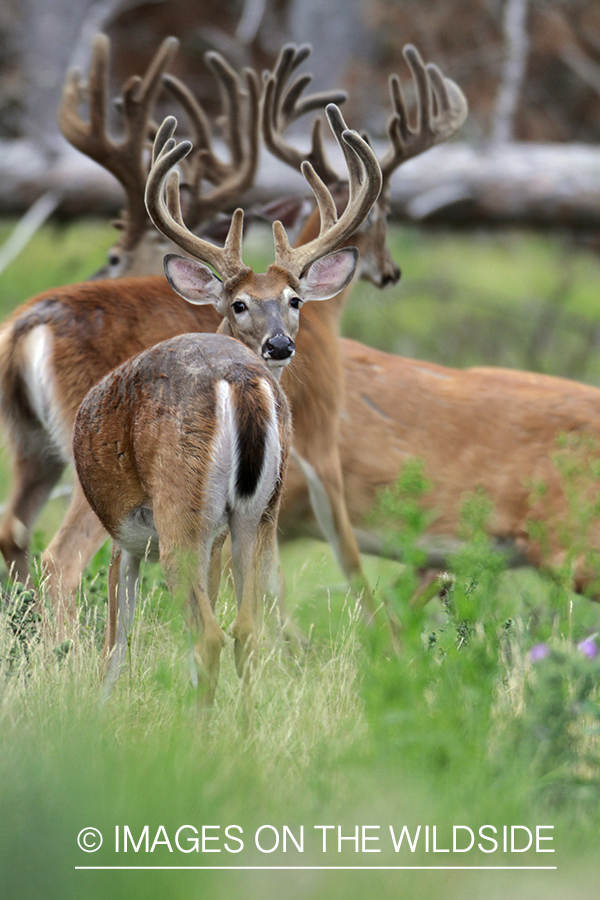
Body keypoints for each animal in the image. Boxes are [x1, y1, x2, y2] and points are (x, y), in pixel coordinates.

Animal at [71, 110, 380, 696]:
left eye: (295, 300)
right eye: (239, 303)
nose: (279, 345)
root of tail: (239, 380)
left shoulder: (125, 533)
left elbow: (113, 647)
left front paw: (97, 706)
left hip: (180, 506)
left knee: (209, 636)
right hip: (259, 513)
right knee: (247, 630)